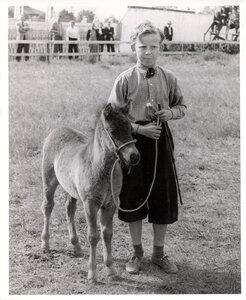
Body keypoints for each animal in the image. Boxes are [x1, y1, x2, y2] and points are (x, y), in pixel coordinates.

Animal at [41, 102, 139, 282]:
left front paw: (111, 269)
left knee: (69, 209)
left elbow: (107, 234)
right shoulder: (90, 204)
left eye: (130, 129)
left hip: (71, 190)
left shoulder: (111, 204)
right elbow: (93, 236)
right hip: (49, 182)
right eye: (112, 131)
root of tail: (57, 129)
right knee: (47, 207)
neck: (102, 168)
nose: (134, 156)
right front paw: (92, 273)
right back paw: (45, 243)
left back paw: (76, 245)